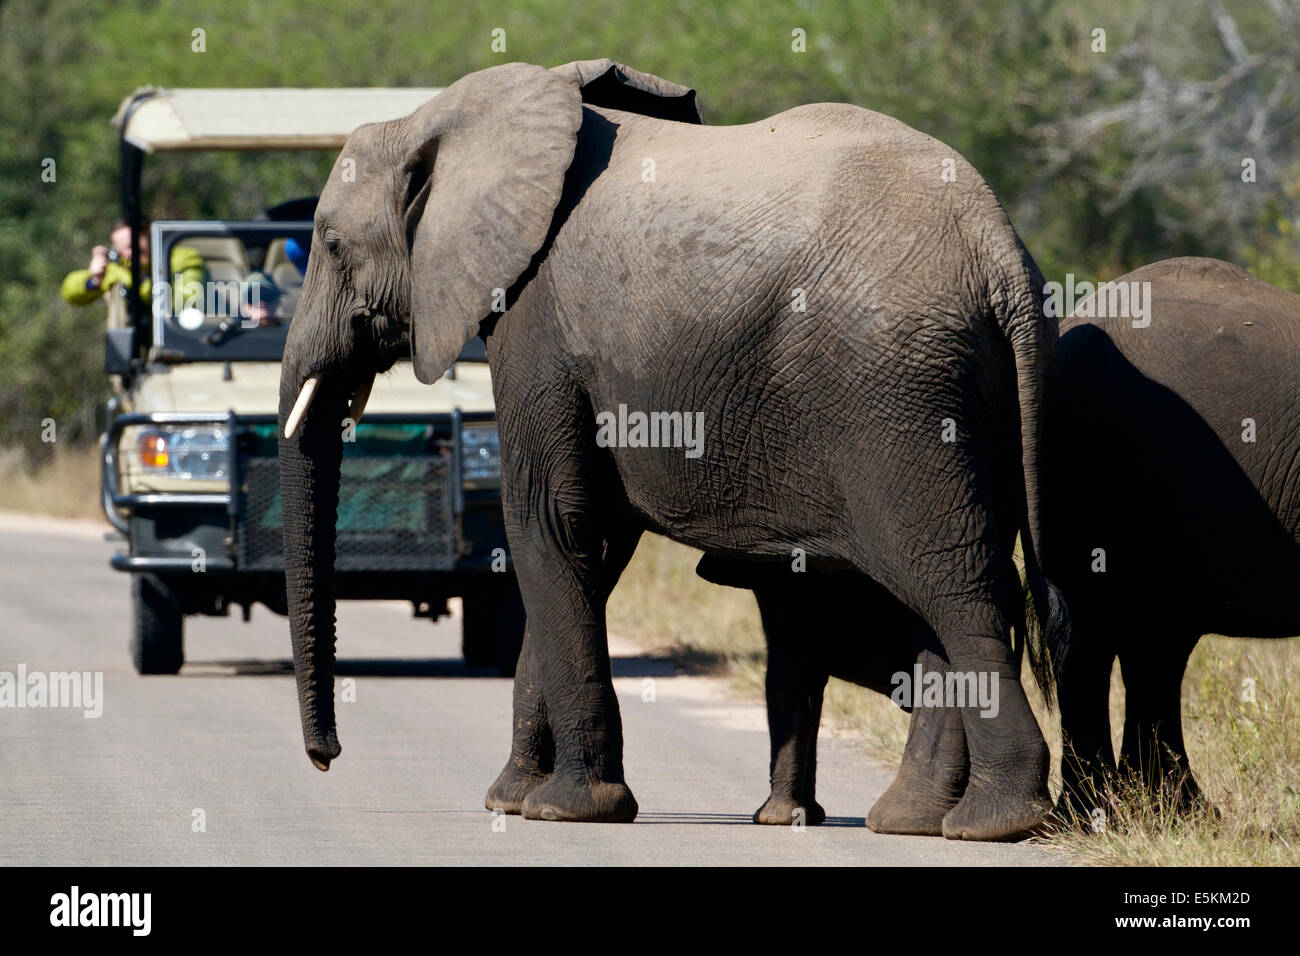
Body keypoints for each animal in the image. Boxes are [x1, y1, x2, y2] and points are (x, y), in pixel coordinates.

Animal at [277, 58, 1069, 841]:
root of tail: (1002, 255)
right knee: (955, 591)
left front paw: (568, 809)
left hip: (899, 400)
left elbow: (549, 525)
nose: (326, 758)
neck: (445, 116)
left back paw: (995, 820)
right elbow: (596, 543)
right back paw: (914, 819)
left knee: (953, 586)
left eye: (332, 245)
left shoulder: (536, 322)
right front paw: (512, 800)